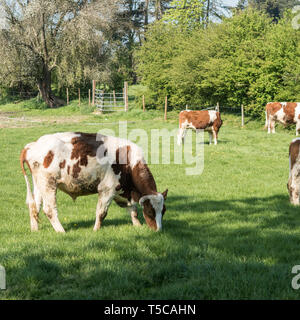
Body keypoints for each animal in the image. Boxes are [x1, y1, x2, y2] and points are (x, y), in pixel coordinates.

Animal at [19, 132, 168, 232]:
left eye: (164, 211)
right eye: (150, 211)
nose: (158, 230)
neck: (129, 162)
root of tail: (33, 145)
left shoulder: (122, 190)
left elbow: (133, 209)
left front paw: (137, 225)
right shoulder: (107, 189)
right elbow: (101, 213)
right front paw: (96, 229)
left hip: (38, 184)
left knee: (34, 205)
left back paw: (35, 229)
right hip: (48, 184)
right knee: (49, 209)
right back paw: (61, 231)